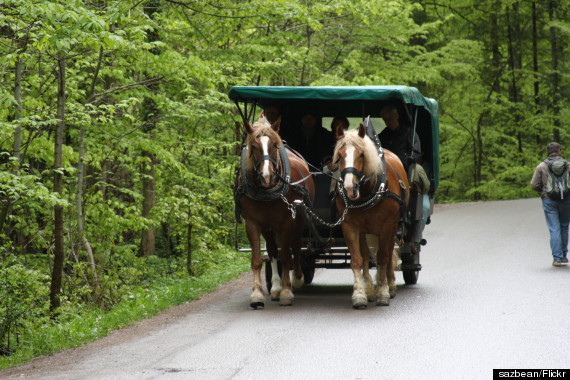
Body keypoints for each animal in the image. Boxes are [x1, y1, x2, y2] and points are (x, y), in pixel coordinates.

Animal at [234, 116, 316, 308]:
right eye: (253, 146)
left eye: (273, 145)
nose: (267, 176)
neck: (268, 190)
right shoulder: (253, 223)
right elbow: (259, 259)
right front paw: (258, 294)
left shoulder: (287, 221)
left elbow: (286, 256)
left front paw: (287, 292)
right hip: (269, 226)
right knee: (272, 250)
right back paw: (276, 288)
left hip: (299, 220)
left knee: (296, 246)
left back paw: (297, 278)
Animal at [332, 123, 408, 308]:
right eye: (340, 155)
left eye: (361, 154)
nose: (349, 188)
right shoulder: (350, 227)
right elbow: (357, 259)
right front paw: (360, 294)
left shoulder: (386, 226)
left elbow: (382, 257)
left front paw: (383, 292)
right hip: (365, 230)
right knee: (366, 255)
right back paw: (370, 289)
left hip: (392, 226)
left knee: (388, 251)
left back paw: (390, 285)